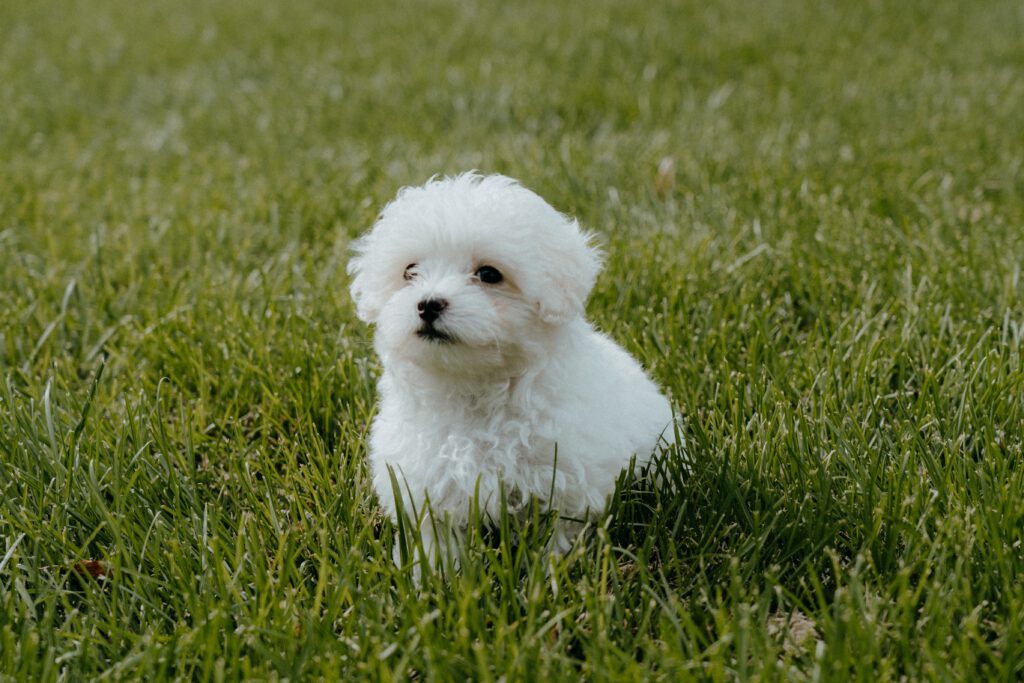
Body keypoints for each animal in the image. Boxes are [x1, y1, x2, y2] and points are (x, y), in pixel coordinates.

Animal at [348, 172, 675, 565]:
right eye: (410, 272)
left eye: (489, 274)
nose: (427, 304)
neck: (473, 390)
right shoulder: (424, 485)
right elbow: (436, 537)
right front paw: (432, 572)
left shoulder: (565, 482)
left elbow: (561, 533)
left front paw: (553, 568)